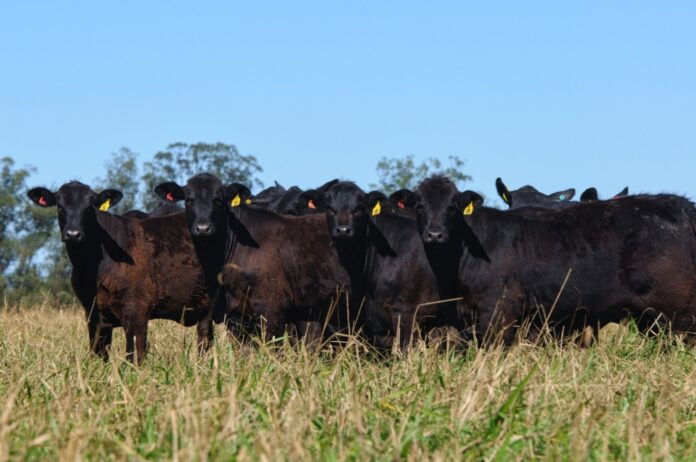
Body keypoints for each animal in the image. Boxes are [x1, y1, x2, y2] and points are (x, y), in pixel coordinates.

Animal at [27, 182, 216, 362]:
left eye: (89, 207)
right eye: (60, 206)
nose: (73, 234)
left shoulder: (136, 310)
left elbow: (135, 356)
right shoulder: (94, 315)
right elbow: (99, 355)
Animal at [408, 175, 696, 344]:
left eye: (453, 207)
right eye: (419, 206)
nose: (435, 234)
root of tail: (682, 206)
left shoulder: (499, 309)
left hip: (678, 311)